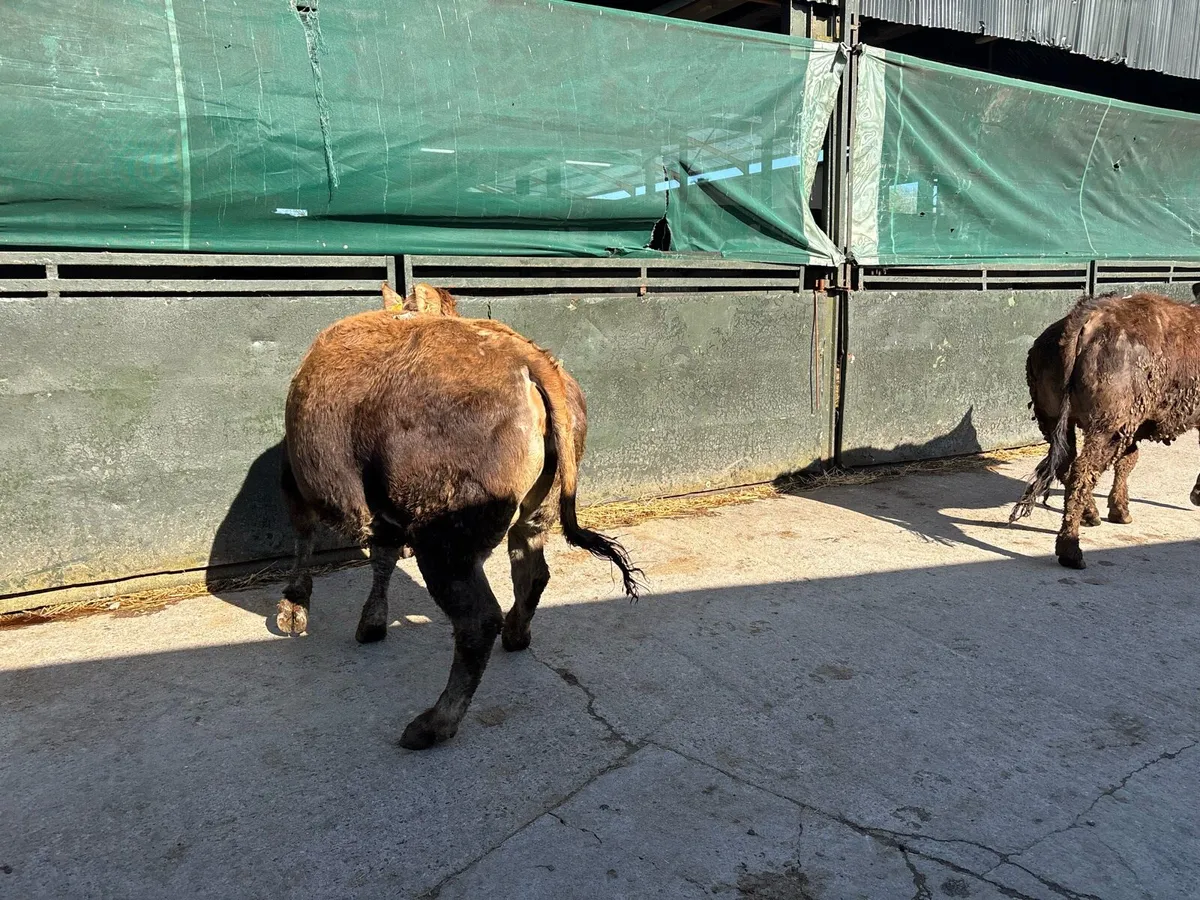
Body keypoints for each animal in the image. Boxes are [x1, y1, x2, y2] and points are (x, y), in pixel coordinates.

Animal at [277, 282, 643, 749]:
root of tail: (529, 359)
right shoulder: (385, 514)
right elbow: (382, 558)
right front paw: (370, 624)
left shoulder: (297, 483)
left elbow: (306, 539)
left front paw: (293, 609)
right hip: (532, 513)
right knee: (531, 572)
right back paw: (516, 636)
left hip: (445, 543)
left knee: (477, 621)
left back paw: (432, 725)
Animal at [1011, 292, 1200, 568]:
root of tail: (1085, 318)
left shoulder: (1131, 427)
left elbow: (1127, 461)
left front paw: (1121, 510)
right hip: (1105, 427)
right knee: (1082, 470)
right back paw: (1071, 549)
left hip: (1057, 420)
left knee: (1069, 465)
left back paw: (1090, 516)